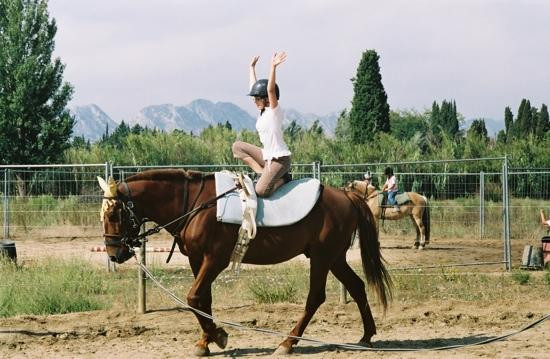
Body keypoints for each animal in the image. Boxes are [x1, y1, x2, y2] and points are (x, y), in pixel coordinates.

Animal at [99, 171, 392, 358]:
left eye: (113, 214)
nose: (113, 254)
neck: (195, 204)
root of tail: (347, 196)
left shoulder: (215, 260)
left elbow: (193, 297)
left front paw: (218, 336)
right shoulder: (197, 259)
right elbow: (203, 299)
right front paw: (206, 341)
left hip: (322, 257)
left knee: (315, 297)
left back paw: (287, 343)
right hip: (335, 258)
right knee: (357, 286)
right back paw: (366, 336)